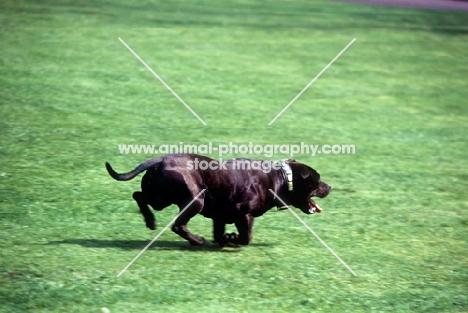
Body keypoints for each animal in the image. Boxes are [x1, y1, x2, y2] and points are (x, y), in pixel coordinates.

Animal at [106, 154, 330, 246]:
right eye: (317, 180)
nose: (330, 187)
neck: (281, 178)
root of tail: (160, 160)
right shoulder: (244, 214)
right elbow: (246, 237)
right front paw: (233, 239)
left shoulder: (220, 216)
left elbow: (219, 232)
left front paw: (226, 239)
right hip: (195, 201)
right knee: (178, 225)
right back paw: (196, 241)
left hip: (160, 198)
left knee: (138, 195)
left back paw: (150, 220)